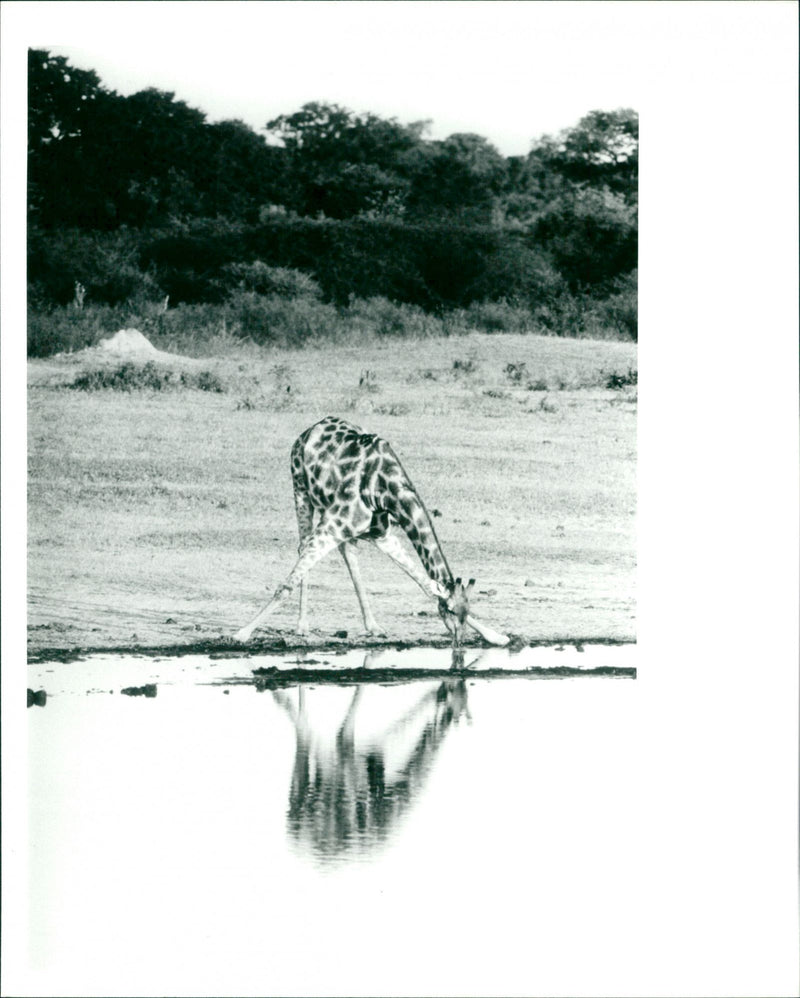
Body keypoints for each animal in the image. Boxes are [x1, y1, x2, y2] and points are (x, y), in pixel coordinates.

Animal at [234, 416, 509, 647]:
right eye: (450, 610)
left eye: (467, 611)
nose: (459, 642)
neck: (385, 488)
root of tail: (311, 428)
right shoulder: (331, 527)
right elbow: (286, 585)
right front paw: (242, 633)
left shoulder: (382, 534)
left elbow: (424, 583)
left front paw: (496, 636)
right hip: (301, 489)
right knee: (304, 547)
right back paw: (302, 626)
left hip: (335, 517)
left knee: (348, 554)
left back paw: (373, 626)